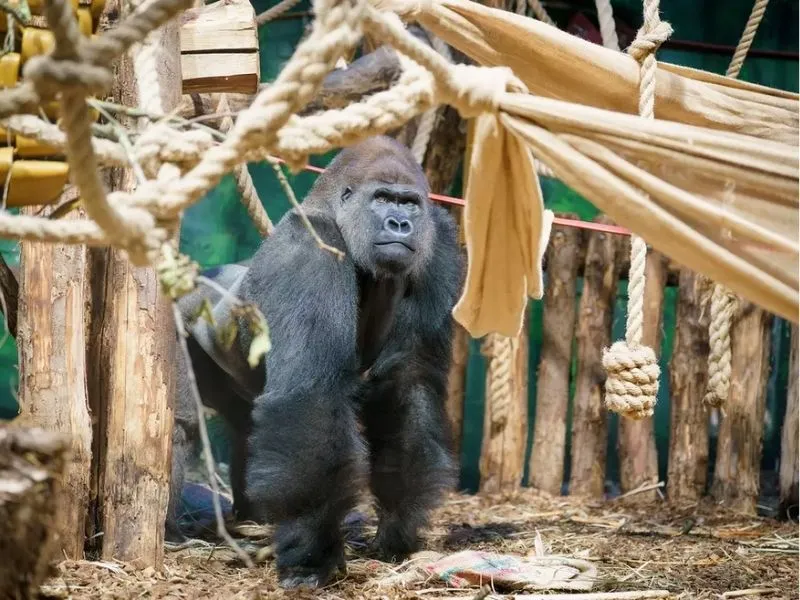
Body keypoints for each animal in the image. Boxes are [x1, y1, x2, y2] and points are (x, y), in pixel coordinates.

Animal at [166, 135, 465, 589]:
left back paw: (253, 518)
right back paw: (169, 531)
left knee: (246, 427)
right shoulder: (309, 247)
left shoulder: (441, 241)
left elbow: (409, 379)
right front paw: (313, 552)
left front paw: (399, 523)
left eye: (410, 204)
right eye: (382, 199)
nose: (400, 224)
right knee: (180, 425)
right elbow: (311, 392)